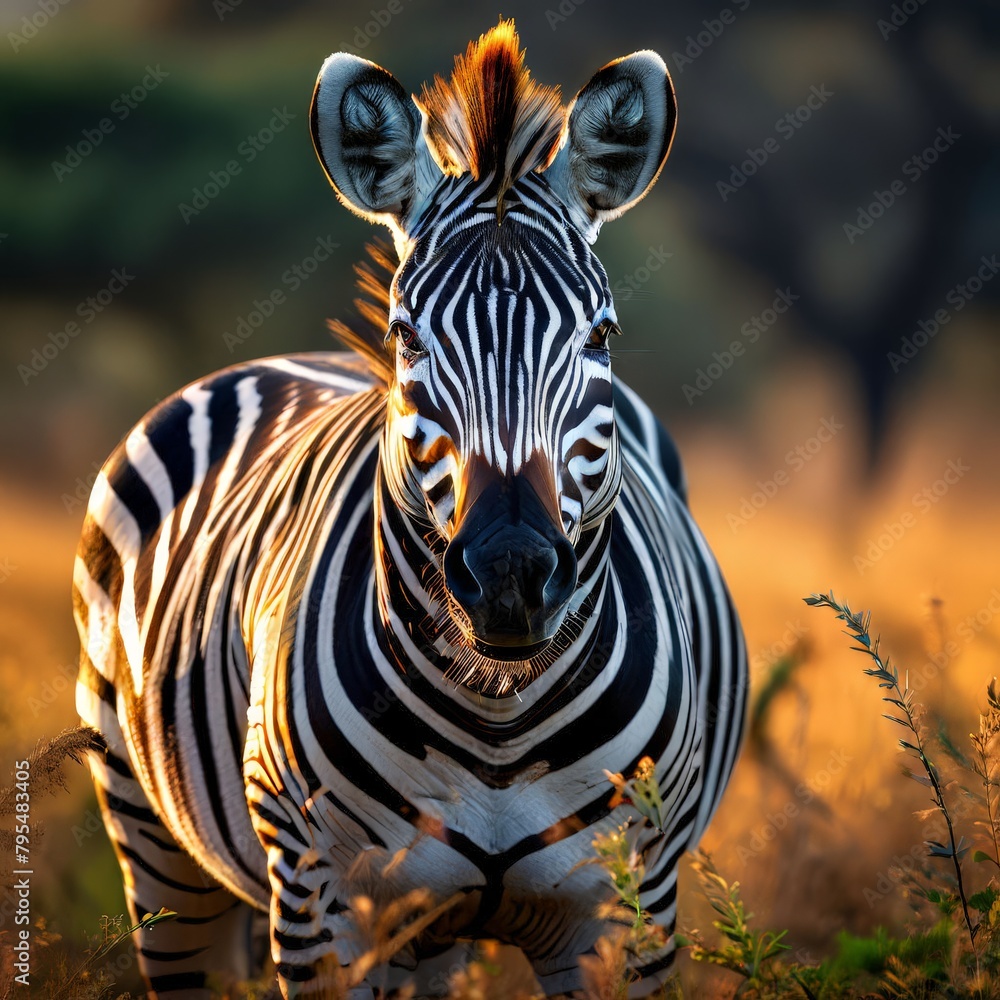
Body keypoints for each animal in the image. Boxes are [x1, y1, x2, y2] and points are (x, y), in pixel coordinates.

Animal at [74, 21, 746, 999]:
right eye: (406, 335)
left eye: (601, 336)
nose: (510, 574)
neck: (500, 719)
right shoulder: (320, 903)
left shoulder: (631, 907)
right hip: (151, 839)